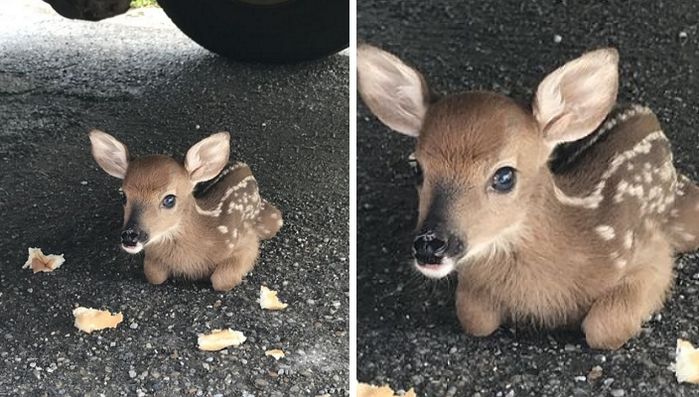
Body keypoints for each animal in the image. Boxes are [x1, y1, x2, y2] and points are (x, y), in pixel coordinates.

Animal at [89, 130, 282, 290]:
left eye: (169, 199)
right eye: (124, 196)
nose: (130, 235)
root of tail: (243, 165)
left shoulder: (245, 241)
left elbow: (221, 280)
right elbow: (154, 275)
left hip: (271, 221)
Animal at [358, 43, 699, 348]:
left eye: (504, 176)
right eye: (417, 168)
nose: (430, 245)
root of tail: (644, 113)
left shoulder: (650, 254)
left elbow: (604, 328)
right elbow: (474, 318)